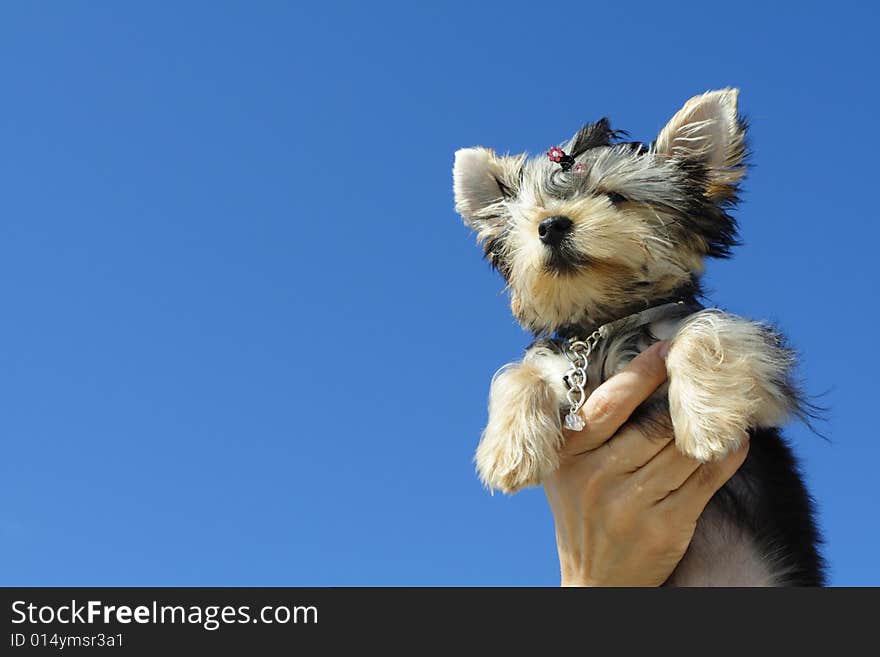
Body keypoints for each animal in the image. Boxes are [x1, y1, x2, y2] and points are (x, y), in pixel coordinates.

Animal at [454, 89, 824, 588]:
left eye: (615, 198)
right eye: (532, 216)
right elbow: (519, 372)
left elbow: (702, 330)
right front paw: (508, 450)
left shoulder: (762, 375)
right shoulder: (562, 360)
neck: (609, 321)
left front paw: (707, 426)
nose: (551, 225)